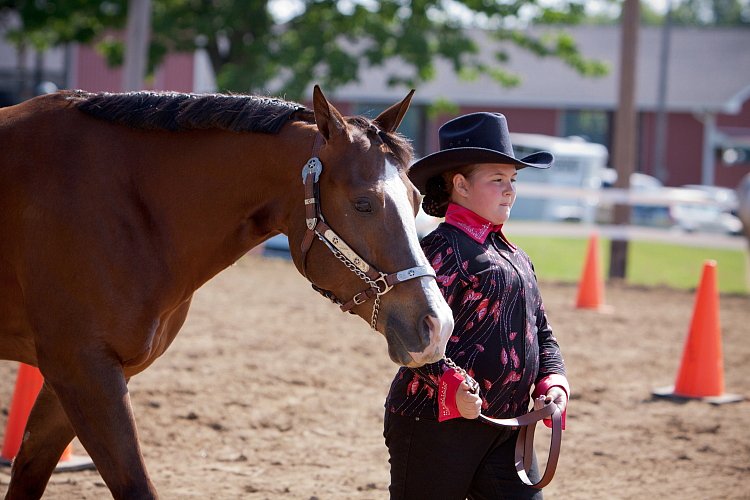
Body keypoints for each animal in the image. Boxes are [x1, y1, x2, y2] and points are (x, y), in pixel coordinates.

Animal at [0, 87, 452, 500]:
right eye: (363, 204)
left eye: (416, 200)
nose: (438, 324)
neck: (129, 205)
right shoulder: (83, 370)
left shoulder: (79, 376)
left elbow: (27, 471)